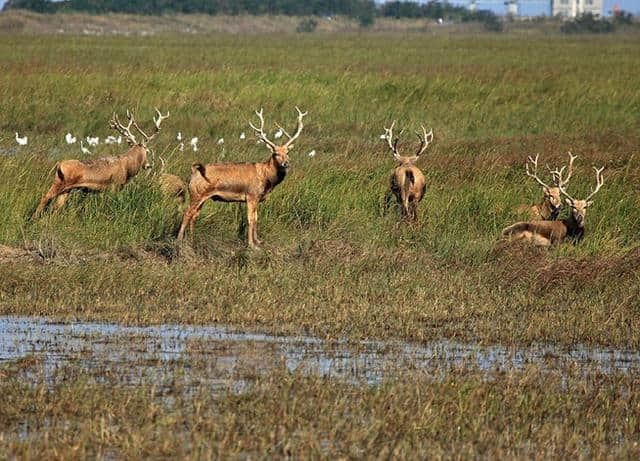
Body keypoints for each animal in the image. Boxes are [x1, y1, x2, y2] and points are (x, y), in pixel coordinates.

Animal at [33, 108, 169, 217]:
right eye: (146, 151)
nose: (148, 165)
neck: (127, 168)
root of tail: (59, 165)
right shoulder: (115, 185)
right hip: (60, 184)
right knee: (45, 197)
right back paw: (34, 218)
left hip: (65, 189)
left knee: (56, 207)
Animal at [178, 106, 308, 248]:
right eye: (275, 153)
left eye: (288, 152)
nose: (286, 164)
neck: (266, 178)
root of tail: (194, 172)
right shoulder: (251, 195)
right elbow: (250, 220)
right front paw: (252, 244)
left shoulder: (257, 198)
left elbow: (256, 219)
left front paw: (258, 241)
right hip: (196, 193)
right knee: (187, 213)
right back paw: (179, 240)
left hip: (202, 196)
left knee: (194, 215)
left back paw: (192, 239)